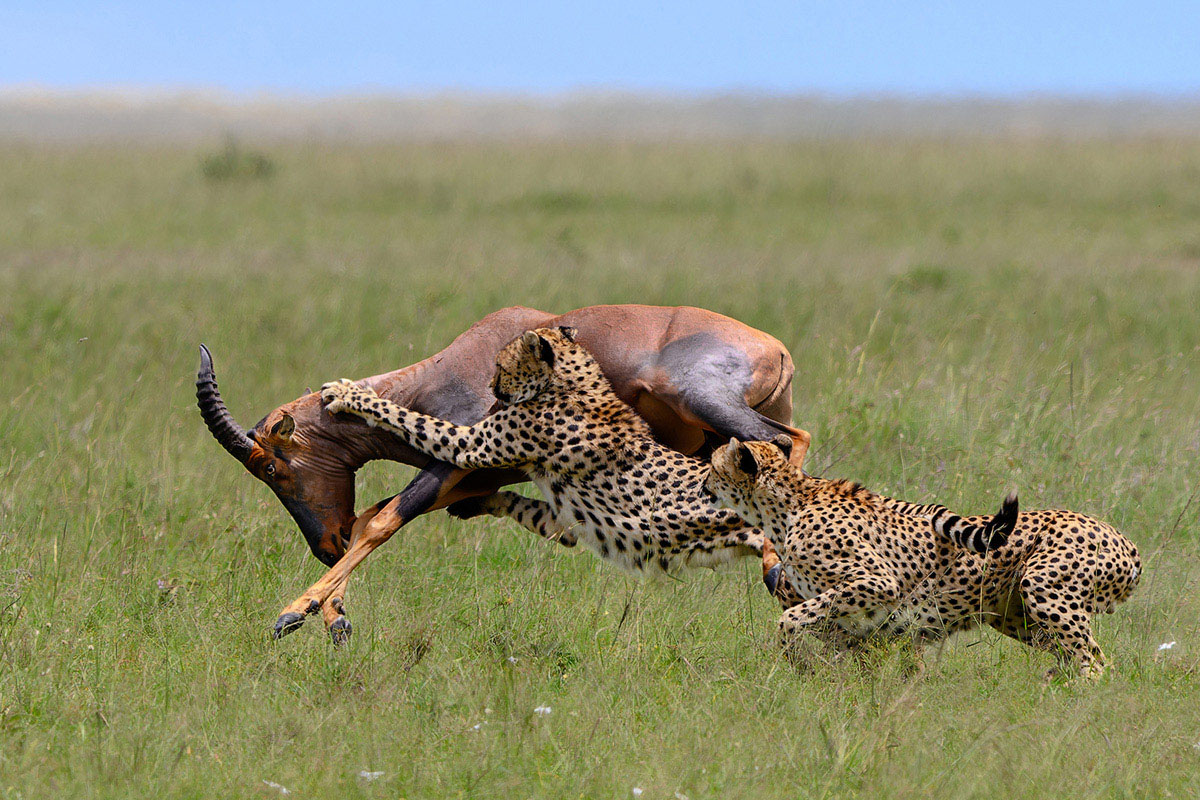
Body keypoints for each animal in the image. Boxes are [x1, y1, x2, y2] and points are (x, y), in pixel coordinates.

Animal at [321, 328, 1012, 578]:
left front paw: (345, 391)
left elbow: (411, 419)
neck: (579, 383)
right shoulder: (571, 520)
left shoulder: (474, 439)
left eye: (502, 363)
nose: (492, 388)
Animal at [700, 434, 1142, 681]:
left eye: (714, 466)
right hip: (1017, 616)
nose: (703, 485)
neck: (785, 506)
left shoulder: (876, 584)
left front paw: (797, 666)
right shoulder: (864, 628)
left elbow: (790, 619)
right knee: (1077, 656)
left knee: (1097, 662)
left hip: (1044, 591)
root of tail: (1124, 540)